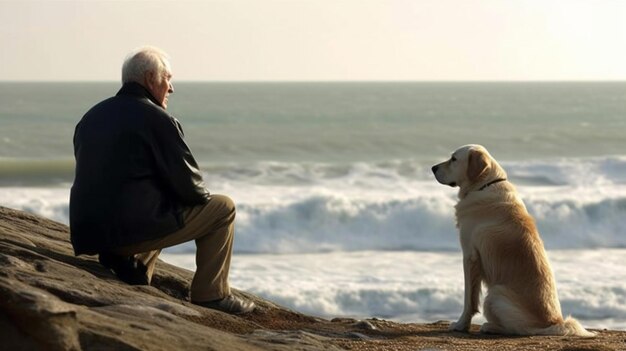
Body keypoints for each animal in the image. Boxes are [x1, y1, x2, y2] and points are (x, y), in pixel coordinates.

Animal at [432, 144, 592, 336]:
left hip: (495, 293)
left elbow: (469, 299)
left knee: (520, 329)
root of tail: (555, 322)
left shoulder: (470, 256)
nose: (433, 168)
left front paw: (461, 324)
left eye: (454, 159)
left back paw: (490, 326)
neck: (484, 185)